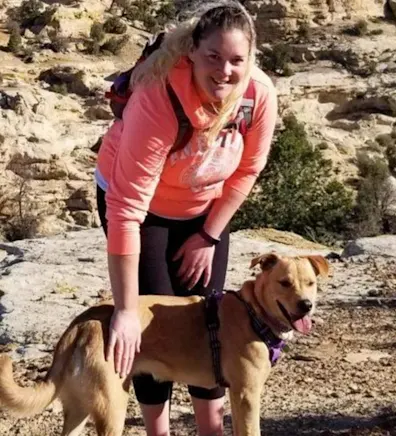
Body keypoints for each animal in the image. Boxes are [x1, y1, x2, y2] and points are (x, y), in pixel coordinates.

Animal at [0, 252, 328, 436]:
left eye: (311, 283)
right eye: (284, 283)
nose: (306, 305)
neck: (254, 312)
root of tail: (83, 322)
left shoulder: (235, 395)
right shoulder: (247, 395)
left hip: (79, 407)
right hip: (112, 406)